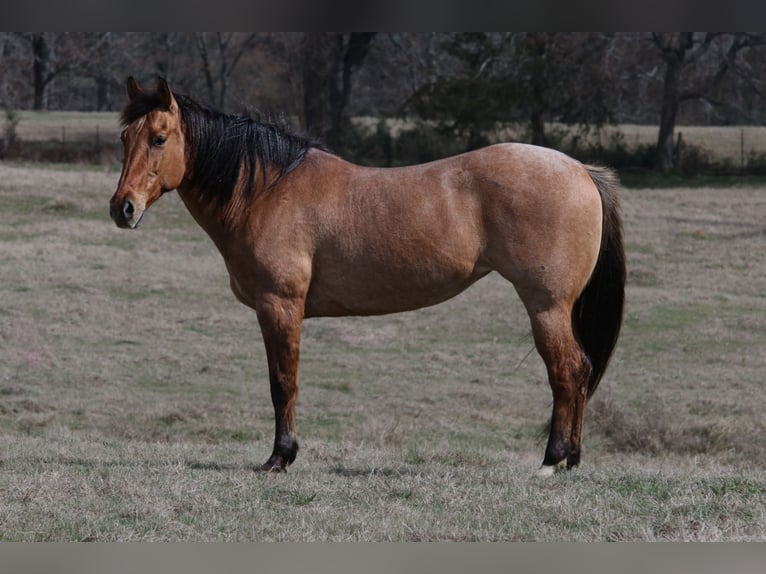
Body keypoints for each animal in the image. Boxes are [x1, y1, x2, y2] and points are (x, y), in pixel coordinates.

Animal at [109, 79, 624, 480]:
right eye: (124, 138)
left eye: (159, 138)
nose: (123, 209)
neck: (267, 189)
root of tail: (580, 170)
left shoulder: (280, 305)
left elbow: (283, 382)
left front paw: (280, 458)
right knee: (580, 371)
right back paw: (572, 460)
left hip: (546, 306)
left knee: (567, 371)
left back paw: (552, 460)